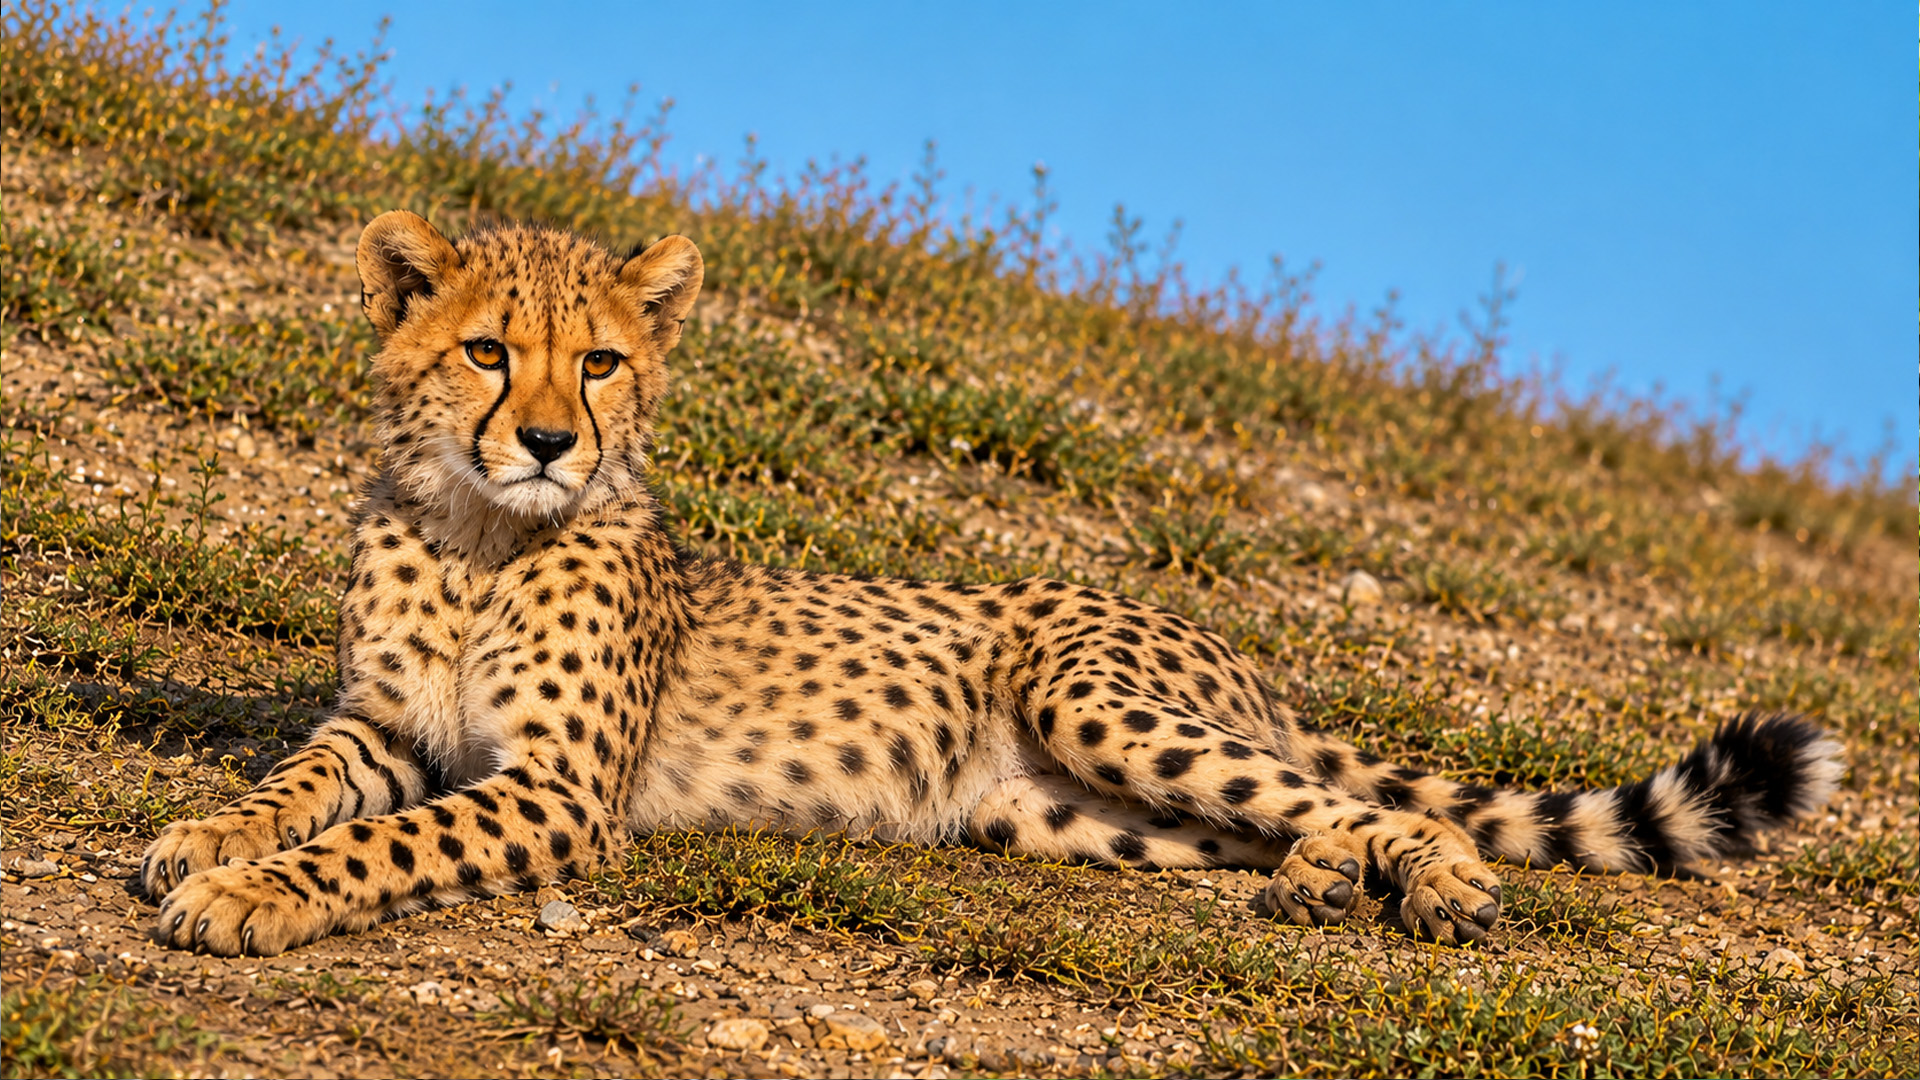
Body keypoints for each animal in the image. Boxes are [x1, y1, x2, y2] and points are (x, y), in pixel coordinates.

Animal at [141, 211, 1844, 956]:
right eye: (490, 351)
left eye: (604, 361)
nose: (553, 441)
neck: (480, 532)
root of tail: (1221, 638)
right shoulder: (381, 724)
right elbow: (299, 782)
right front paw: (204, 839)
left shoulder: (555, 790)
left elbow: (386, 842)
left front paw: (251, 895)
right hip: (1060, 811)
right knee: (1254, 830)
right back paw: (1315, 881)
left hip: (1097, 701)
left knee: (1373, 804)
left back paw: (1432, 881)